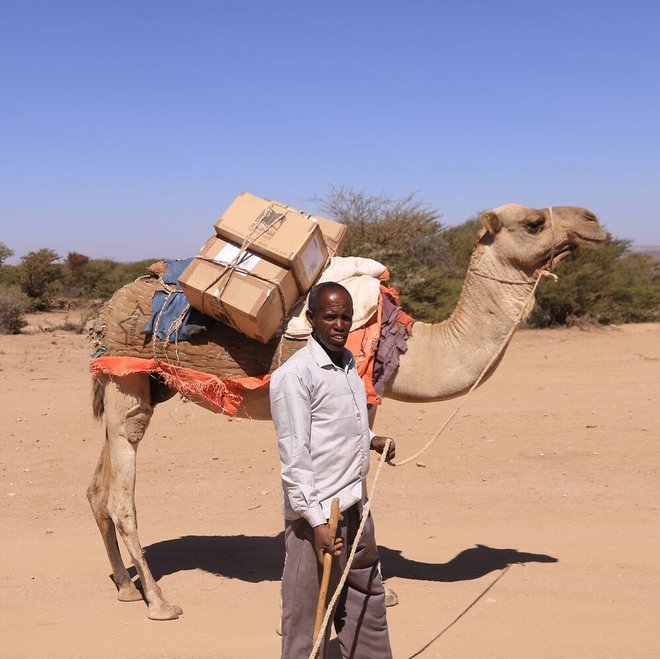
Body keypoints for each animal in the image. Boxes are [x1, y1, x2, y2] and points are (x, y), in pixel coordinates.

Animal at [89, 205, 608, 620]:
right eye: (534, 222)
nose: (593, 221)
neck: (411, 347)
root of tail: (104, 310)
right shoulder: (361, 402)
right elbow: (352, 489)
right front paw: (380, 589)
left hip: (141, 385)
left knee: (98, 489)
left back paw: (125, 588)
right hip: (126, 378)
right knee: (121, 497)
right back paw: (159, 602)